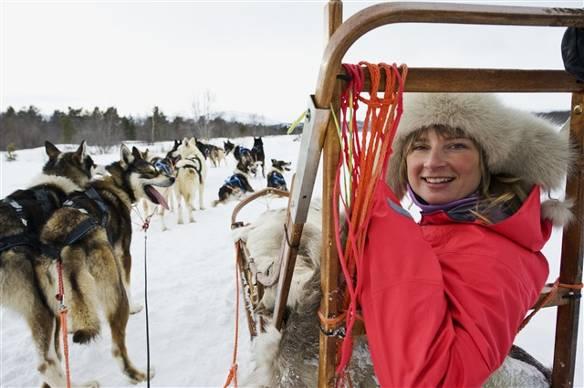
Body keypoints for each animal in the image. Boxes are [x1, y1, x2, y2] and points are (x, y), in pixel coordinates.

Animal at [39, 145, 173, 384]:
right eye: (151, 172)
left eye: (156, 169)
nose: (173, 178)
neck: (116, 185)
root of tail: (69, 244)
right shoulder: (122, 254)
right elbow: (128, 283)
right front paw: (135, 306)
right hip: (115, 295)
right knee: (117, 349)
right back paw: (139, 375)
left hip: (53, 312)